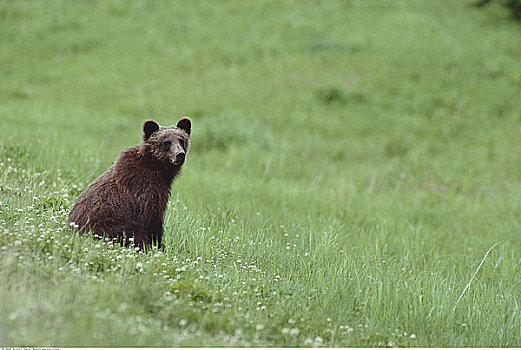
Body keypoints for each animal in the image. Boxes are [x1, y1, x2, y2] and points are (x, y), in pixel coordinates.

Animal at [67, 119, 191, 250]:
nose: (180, 154)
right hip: (108, 224)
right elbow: (151, 217)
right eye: (166, 142)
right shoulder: (146, 187)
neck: (158, 168)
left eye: (181, 140)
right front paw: (157, 244)